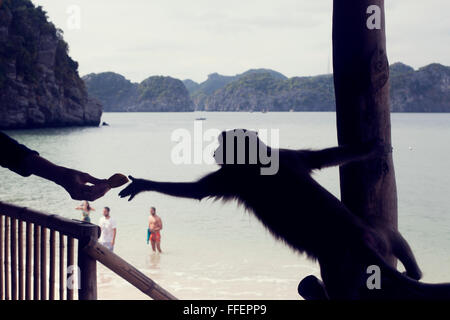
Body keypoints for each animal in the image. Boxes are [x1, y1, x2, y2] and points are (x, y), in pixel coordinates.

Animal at [118, 129, 450, 298]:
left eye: (221, 146)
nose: (213, 152)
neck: (259, 156)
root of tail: (362, 242)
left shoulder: (235, 176)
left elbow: (196, 192)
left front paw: (144, 184)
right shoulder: (288, 155)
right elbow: (327, 156)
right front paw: (374, 146)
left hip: (342, 262)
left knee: (338, 285)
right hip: (378, 235)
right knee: (390, 232)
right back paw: (415, 272)